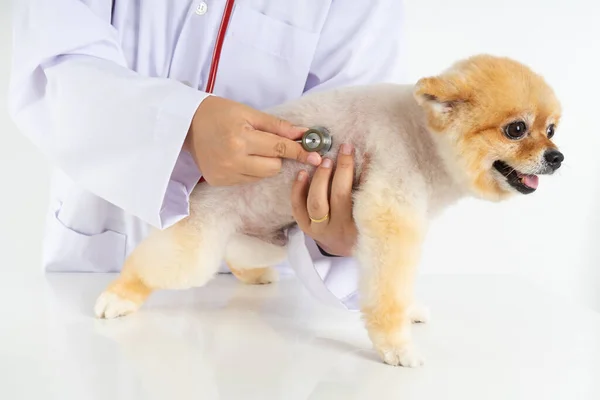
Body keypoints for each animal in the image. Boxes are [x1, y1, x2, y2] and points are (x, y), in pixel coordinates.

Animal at [92, 54, 564, 368]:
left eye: (552, 130)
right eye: (516, 129)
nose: (557, 157)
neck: (424, 137)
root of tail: (203, 181)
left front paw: (409, 311)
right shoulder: (391, 213)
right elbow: (388, 289)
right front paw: (395, 345)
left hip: (269, 236)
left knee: (240, 253)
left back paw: (254, 275)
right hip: (199, 245)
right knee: (157, 264)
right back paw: (118, 297)